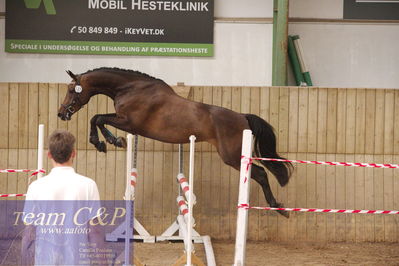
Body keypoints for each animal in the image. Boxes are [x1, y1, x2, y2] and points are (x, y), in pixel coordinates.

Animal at [57, 67, 294, 217]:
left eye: (70, 90)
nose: (61, 113)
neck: (131, 88)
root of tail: (243, 117)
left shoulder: (129, 123)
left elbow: (97, 118)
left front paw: (107, 141)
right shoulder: (125, 121)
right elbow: (97, 118)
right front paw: (111, 141)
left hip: (232, 156)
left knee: (261, 174)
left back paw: (278, 208)